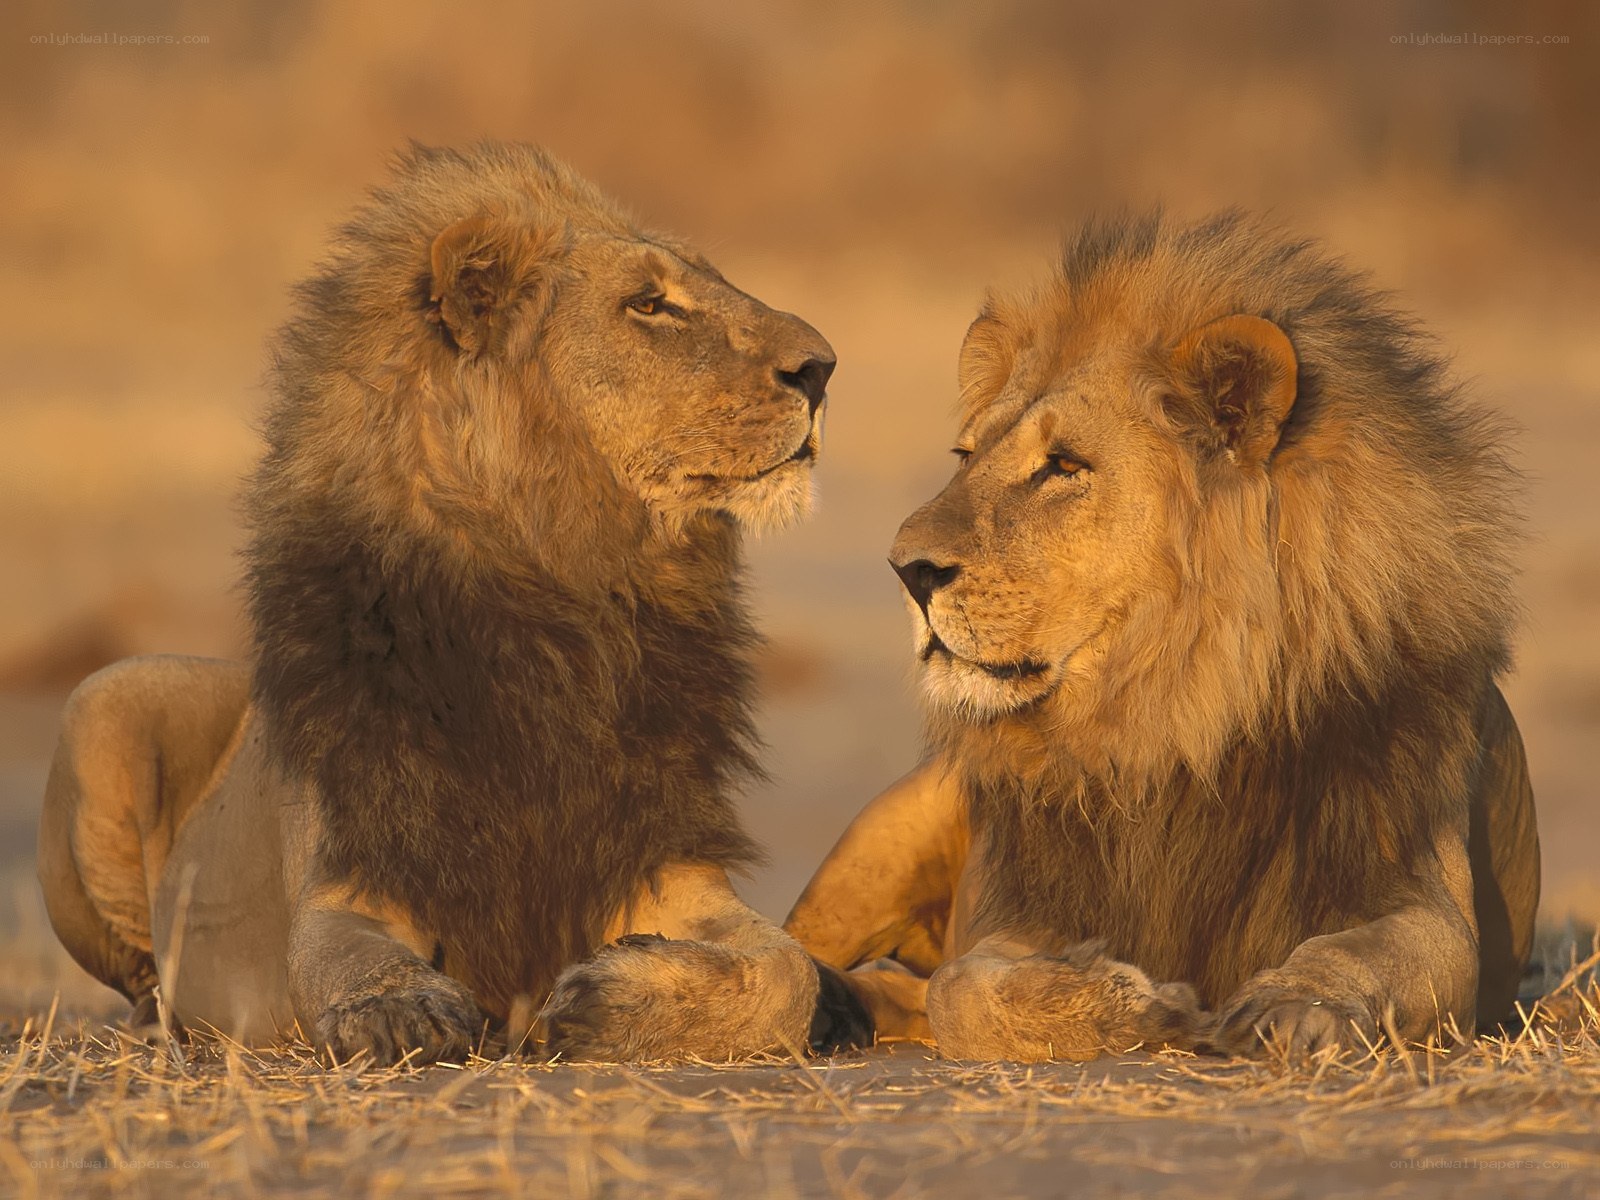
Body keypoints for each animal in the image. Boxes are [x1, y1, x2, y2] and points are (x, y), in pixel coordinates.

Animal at [37, 141, 839, 1065]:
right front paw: (400, 1010)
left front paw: (607, 997)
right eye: (649, 304)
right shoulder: (351, 875)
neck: (570, 600)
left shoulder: (667, 866)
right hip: (106, 694)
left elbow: (789, 972)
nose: (824, 368)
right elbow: (341, 961)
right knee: (142, 975)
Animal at [791, 210, 1540, 1062]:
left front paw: (1293, 1005)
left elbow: (1352, 955)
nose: (905, 569)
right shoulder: (1015, 913)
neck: (1168, 717)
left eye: (1063, 465)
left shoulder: (1419, 897)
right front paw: (1136, 1004)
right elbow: (963, 986)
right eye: (966, 455)